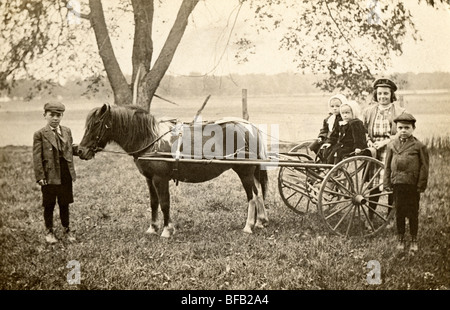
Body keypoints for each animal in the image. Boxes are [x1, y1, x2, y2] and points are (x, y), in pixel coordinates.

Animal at [77, 104, 268, 237]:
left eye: (96, 124)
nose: (79, 150)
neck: (152, 139)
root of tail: (249, 127)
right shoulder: (149, 179)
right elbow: (154, 203)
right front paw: (153, 228)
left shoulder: (160, 178)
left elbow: (164, 203)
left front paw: (167, 230)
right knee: (258, 194)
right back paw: (260, 221)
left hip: (244, 172)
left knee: (252, 197)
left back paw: (249, 226)